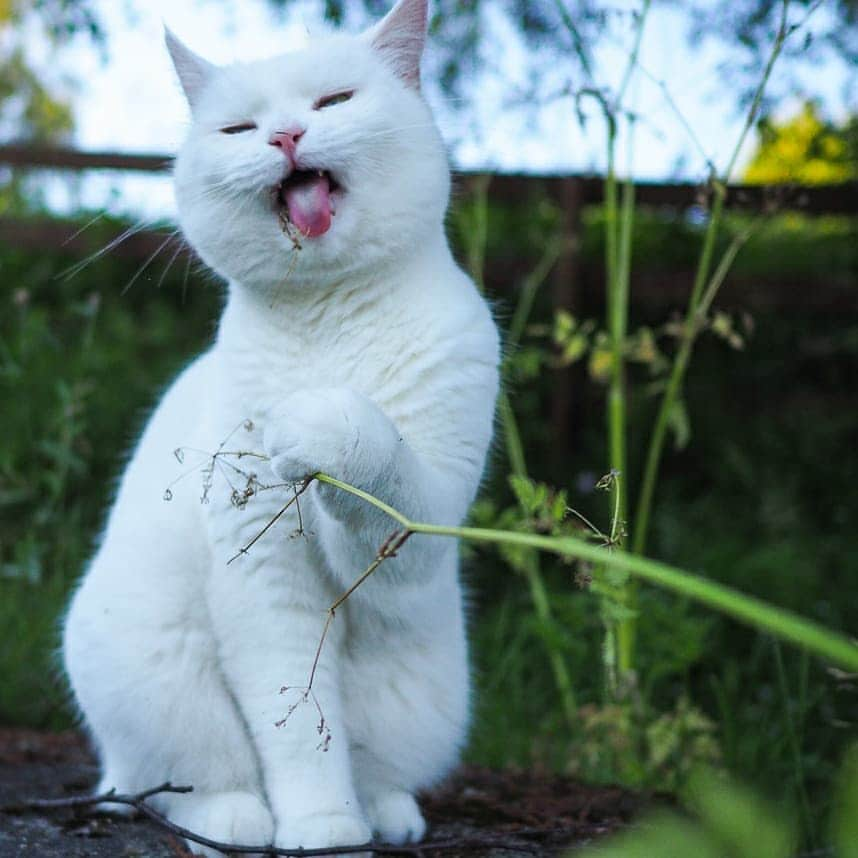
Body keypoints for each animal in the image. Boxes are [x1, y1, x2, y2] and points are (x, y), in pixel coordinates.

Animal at [63, 0, 498, 852]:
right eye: (239, 128)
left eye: (333, 101)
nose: (287, 136)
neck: (328, 318)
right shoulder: (263, 576)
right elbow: (295, 720)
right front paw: (321, 826)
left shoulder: (418, 528)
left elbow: (375, 455)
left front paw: (320, 418)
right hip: (154, 677)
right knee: (178, 784)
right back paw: (234, 818)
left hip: (427, 698)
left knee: (379, 769)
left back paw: (388, 815)